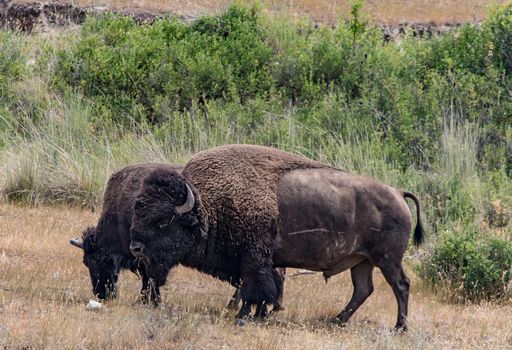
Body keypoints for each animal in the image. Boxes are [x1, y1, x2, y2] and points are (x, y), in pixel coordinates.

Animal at [129, 144, 424, 330]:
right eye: (139, 210)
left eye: (163, 221)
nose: (136, 247)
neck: (208, 204)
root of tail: (398, 192)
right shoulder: (259, 261)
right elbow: (259, 288)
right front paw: (258, 315)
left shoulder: (253, 259)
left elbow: (253, 289)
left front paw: (242, 317)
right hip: (361, 261)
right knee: (363, 289)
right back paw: (337, 321)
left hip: (387, 259)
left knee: (401, 285)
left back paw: (400, 327)